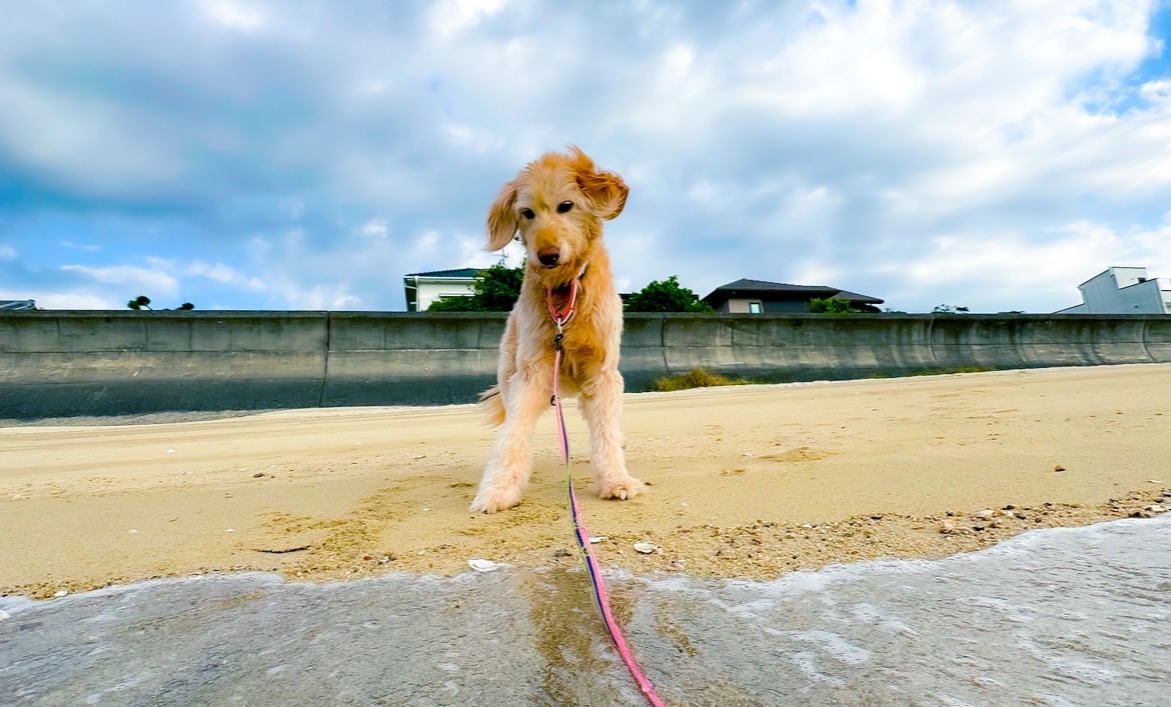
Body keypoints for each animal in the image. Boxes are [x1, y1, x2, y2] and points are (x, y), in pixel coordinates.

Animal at [468, 147, 651, 512]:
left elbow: (605, 429)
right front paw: (498, 489)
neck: (565, 294)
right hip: (510, 372)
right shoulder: (532, 371)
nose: (547, 255)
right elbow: (513, 434)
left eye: (566, 205)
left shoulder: (603, 372)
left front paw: (616, 480)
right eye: (527, 213)